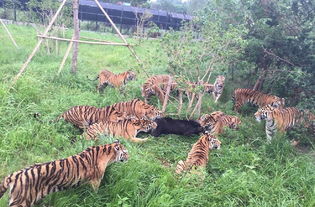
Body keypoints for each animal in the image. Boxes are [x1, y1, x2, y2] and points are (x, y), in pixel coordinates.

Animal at [0, 140, 129, 206]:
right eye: (125, 152)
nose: (129, 157)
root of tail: (13, 175)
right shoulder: (96, 181)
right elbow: (95, 193)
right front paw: (97, 199)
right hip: (20, 202)